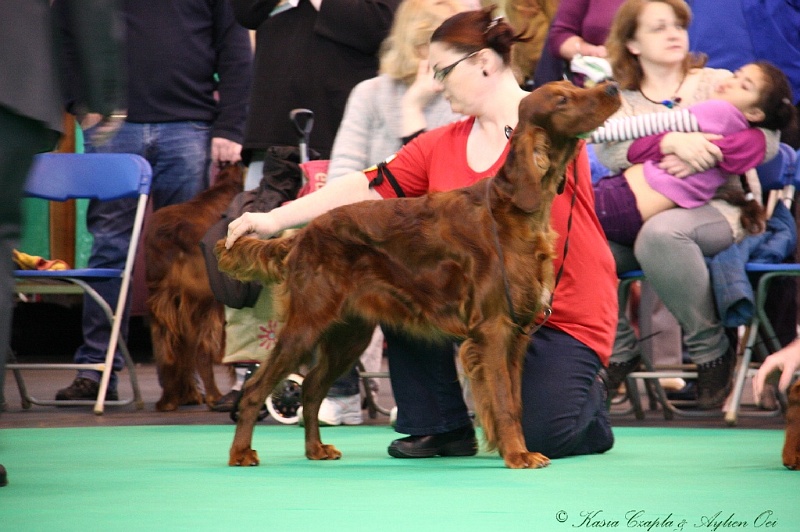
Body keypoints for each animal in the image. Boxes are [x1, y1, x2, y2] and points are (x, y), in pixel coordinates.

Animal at [144, 162, 244, 412]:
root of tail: (175, 231)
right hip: (208, 301)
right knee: (201, 351)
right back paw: (214, 397)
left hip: (163, 301)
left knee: (168, 351)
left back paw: (170, 400)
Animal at [212, 81, 620, 468]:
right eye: (563, 99)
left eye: (573, 88)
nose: (613, 87)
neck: (514, 209)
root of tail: (302, 236)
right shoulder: (493, 328)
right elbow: (504, 402)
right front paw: (518, 455)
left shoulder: (517, 334)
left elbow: (517, 404)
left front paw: (517, 449)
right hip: (307, 324)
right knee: (257, 387)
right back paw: (241, 453)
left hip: (349, 333)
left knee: (311, 387)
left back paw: (316, 449)